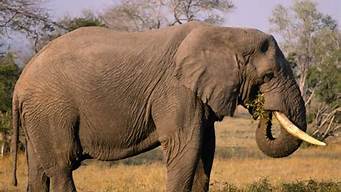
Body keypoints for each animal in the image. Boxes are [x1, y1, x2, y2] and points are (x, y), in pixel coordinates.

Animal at [11, 21, 324, 192]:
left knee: (38, 171)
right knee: (62, 166)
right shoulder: (175, 89)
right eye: (268, 76)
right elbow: (186, 145)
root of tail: (18, 85)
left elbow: (205, 149)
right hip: (51, 109)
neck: (225, 33)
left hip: (38, 115)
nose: (262, 109)